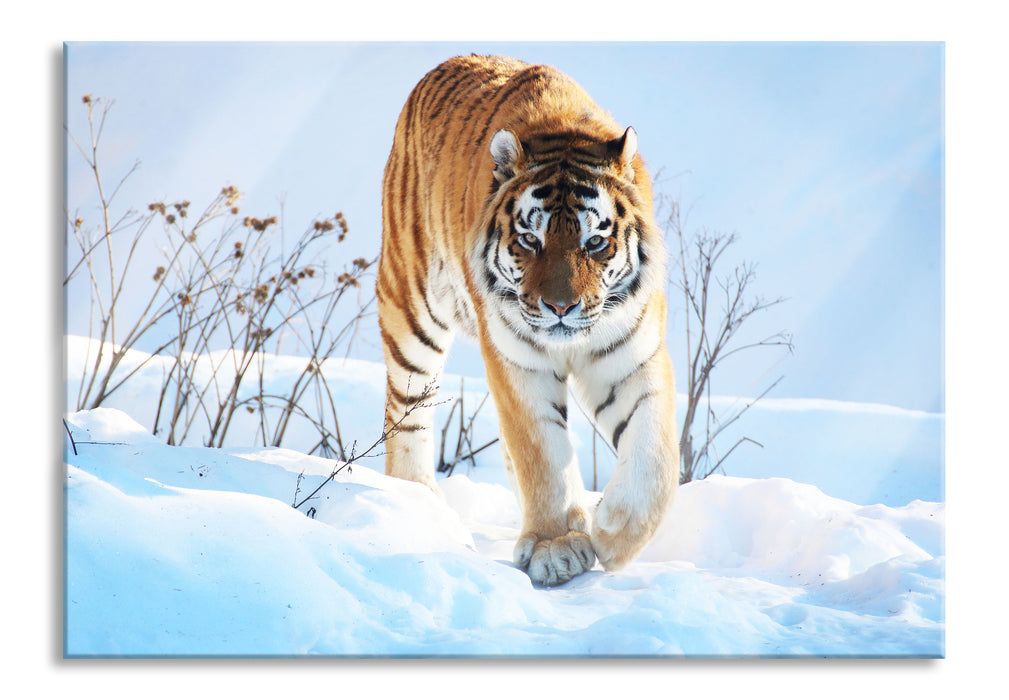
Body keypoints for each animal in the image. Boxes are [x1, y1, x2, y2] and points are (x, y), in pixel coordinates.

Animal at [377, 54, 679, 586]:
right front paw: (556, 547)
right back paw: (418, 503)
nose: (560, 307)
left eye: (594, 243)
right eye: (529, 241)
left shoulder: (631, 356)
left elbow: (655, 454)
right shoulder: (517, 360)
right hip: (411, 309)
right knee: (407, 412)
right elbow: (542, 451)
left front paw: (613, 533)